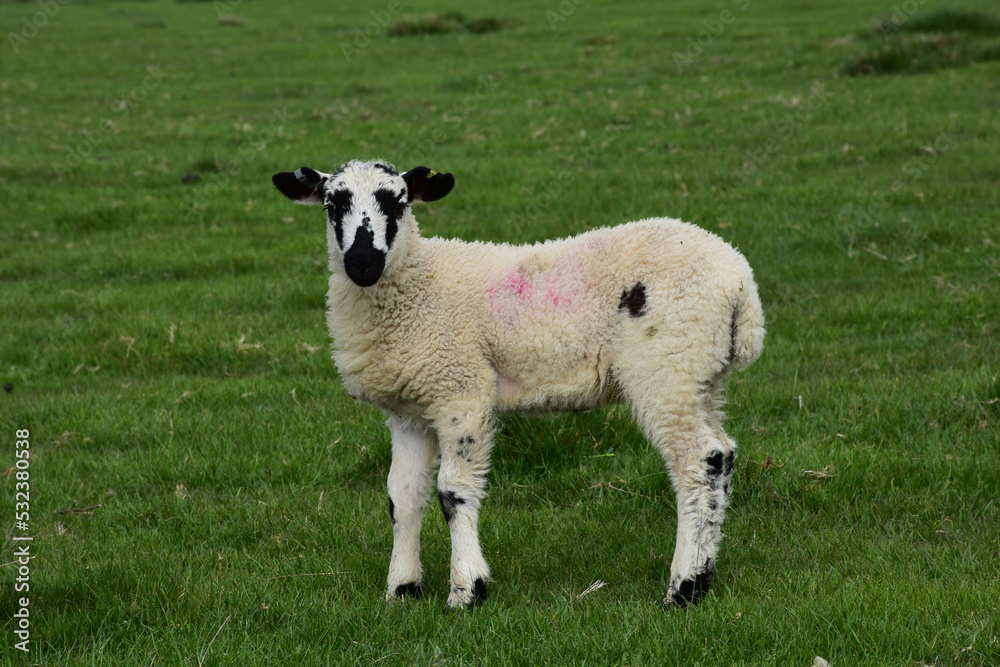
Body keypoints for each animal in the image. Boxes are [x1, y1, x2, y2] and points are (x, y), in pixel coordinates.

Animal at [271, 159, 765, 610]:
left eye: (398, 202)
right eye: (333, 203)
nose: (362, 262)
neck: (418, 284)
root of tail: (740, 281)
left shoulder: (461, 389)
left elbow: (452, 493)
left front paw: (466, 591)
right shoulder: (410, 410)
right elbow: (403, 497)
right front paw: (402, 589)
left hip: (666, 368)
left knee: (698, 462)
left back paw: (682, 588)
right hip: (700, 376)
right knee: (722, 455)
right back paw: (704, 574)